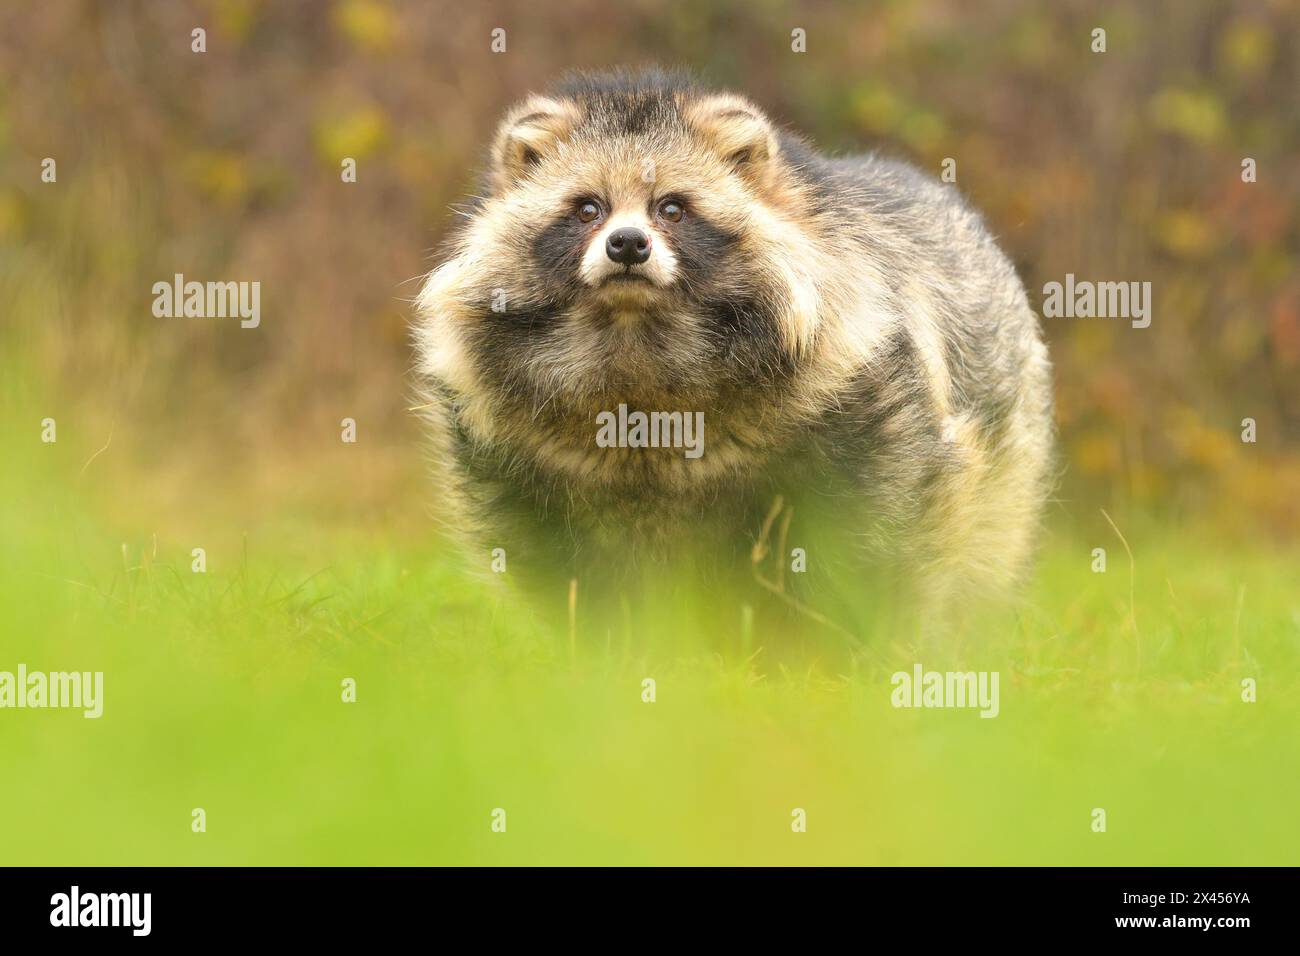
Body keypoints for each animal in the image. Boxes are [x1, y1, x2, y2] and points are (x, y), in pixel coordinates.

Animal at [416, 65, 1055, 621]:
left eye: (672, 208)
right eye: (587, 208)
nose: (628, 244)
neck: (636, 340)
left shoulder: (864, 384)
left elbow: (878, 529)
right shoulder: (516, 446)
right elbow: (553, 558)